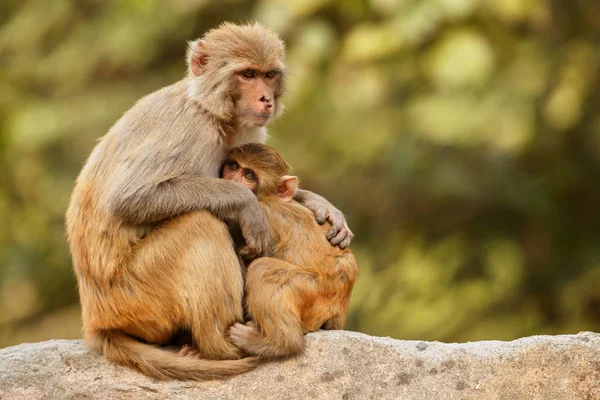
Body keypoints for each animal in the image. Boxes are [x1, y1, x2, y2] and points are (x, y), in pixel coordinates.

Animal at [223, 145, 358, 358]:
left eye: (249, 176)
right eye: (233, 166)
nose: (232, 182)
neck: (267, 198)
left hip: (311, 292)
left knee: (263, 268)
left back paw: (278, 343)